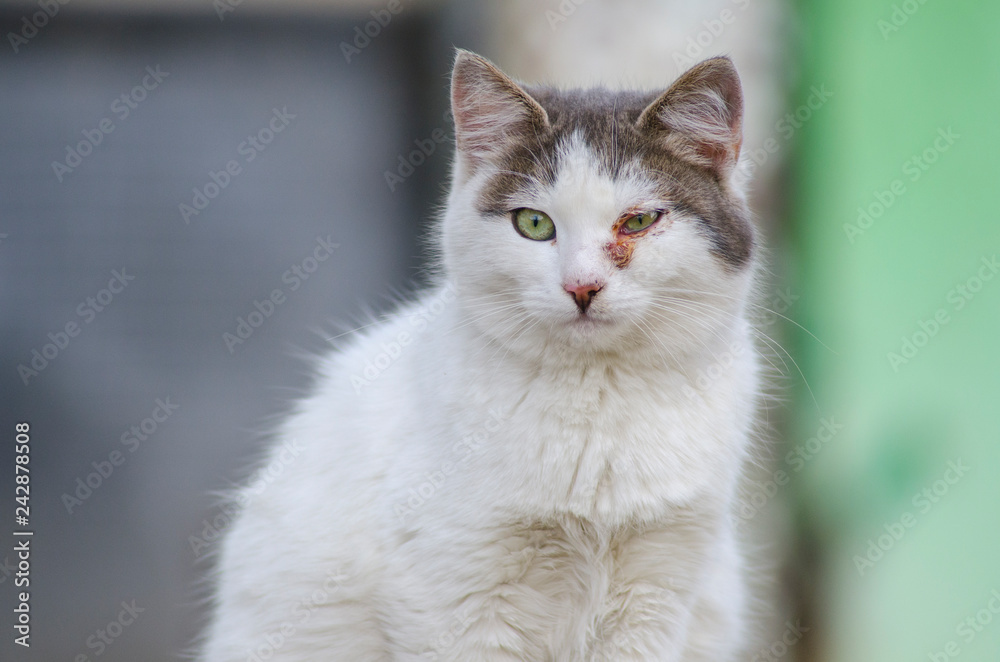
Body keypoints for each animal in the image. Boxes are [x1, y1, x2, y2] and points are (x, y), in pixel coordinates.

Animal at [205, 49, 764, 660]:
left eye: (638, 221)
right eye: (534, 223)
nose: (582, 286)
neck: (597, 397)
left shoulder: (659, 587)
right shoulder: (455, 592)